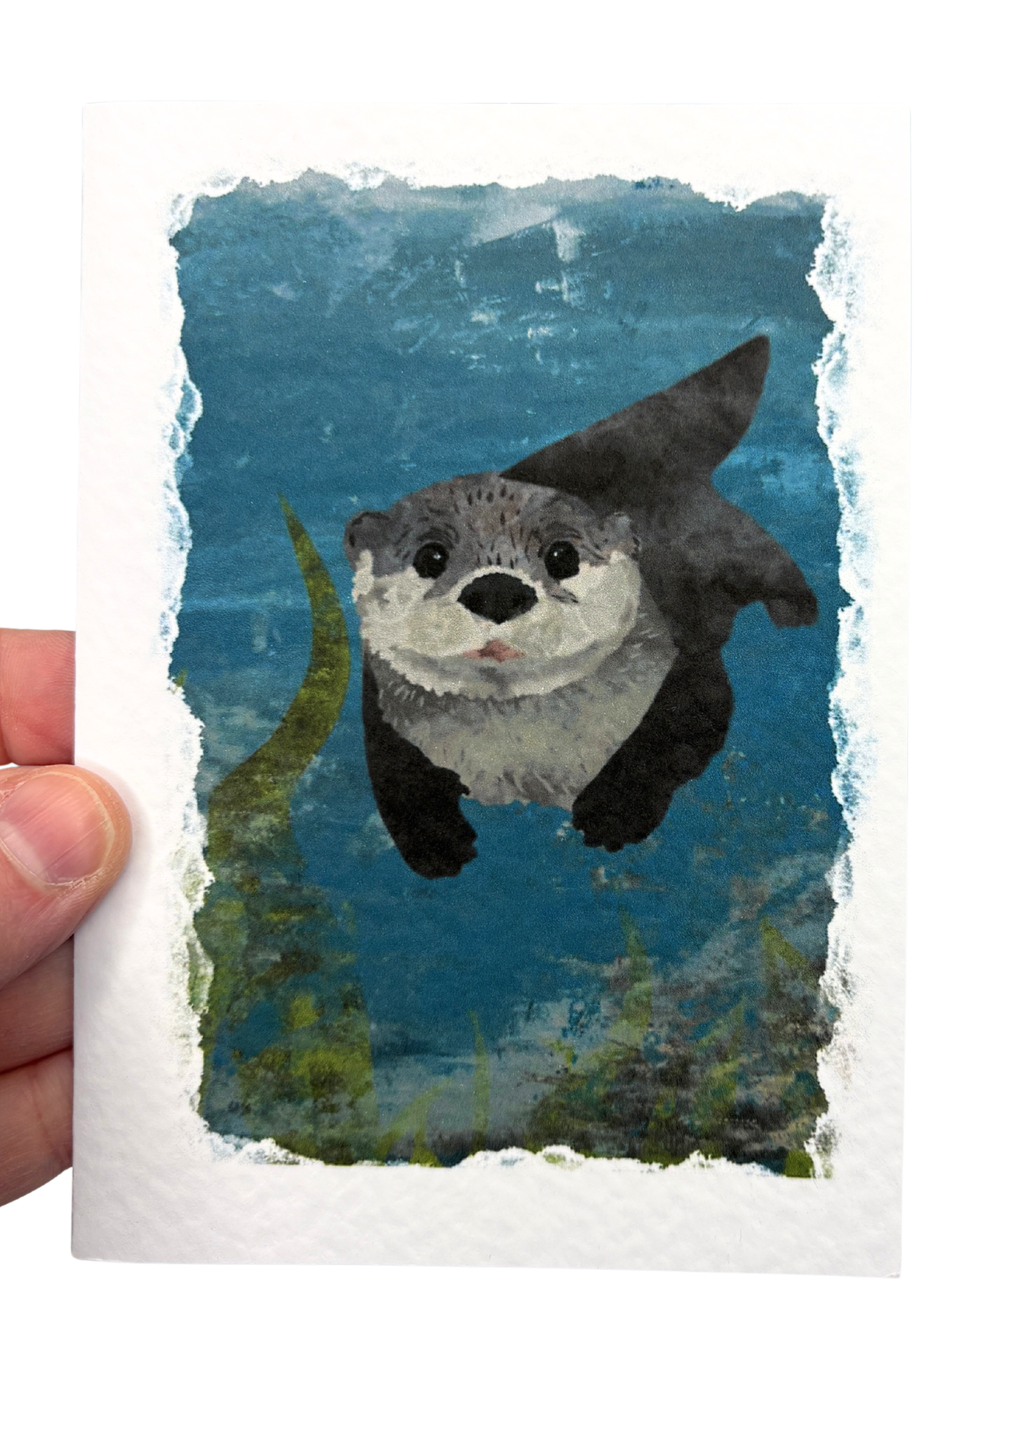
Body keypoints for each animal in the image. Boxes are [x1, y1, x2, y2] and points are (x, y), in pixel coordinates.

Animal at [345, 337, 817, 878]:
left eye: (562, 555)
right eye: (430, 556)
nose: (497, 591)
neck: (527, 756)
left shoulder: (689, 669)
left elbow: (674, 737)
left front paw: (612, 814)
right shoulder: (383, 716)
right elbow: (397, 781)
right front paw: (437, 843)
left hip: (740, 550)